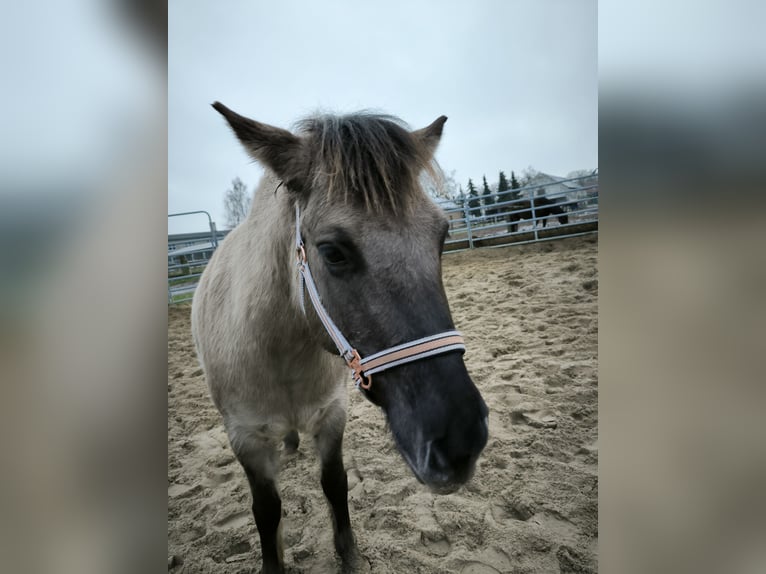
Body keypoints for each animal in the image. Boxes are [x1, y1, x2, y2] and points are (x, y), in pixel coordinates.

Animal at [194, 104, 492, 574]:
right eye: (333, 252)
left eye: (442, 236)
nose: (460, 442)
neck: (283, 355)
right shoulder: (245, 439)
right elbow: (266, 511)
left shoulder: (332, 415)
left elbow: (335, 484)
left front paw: (349, 556)